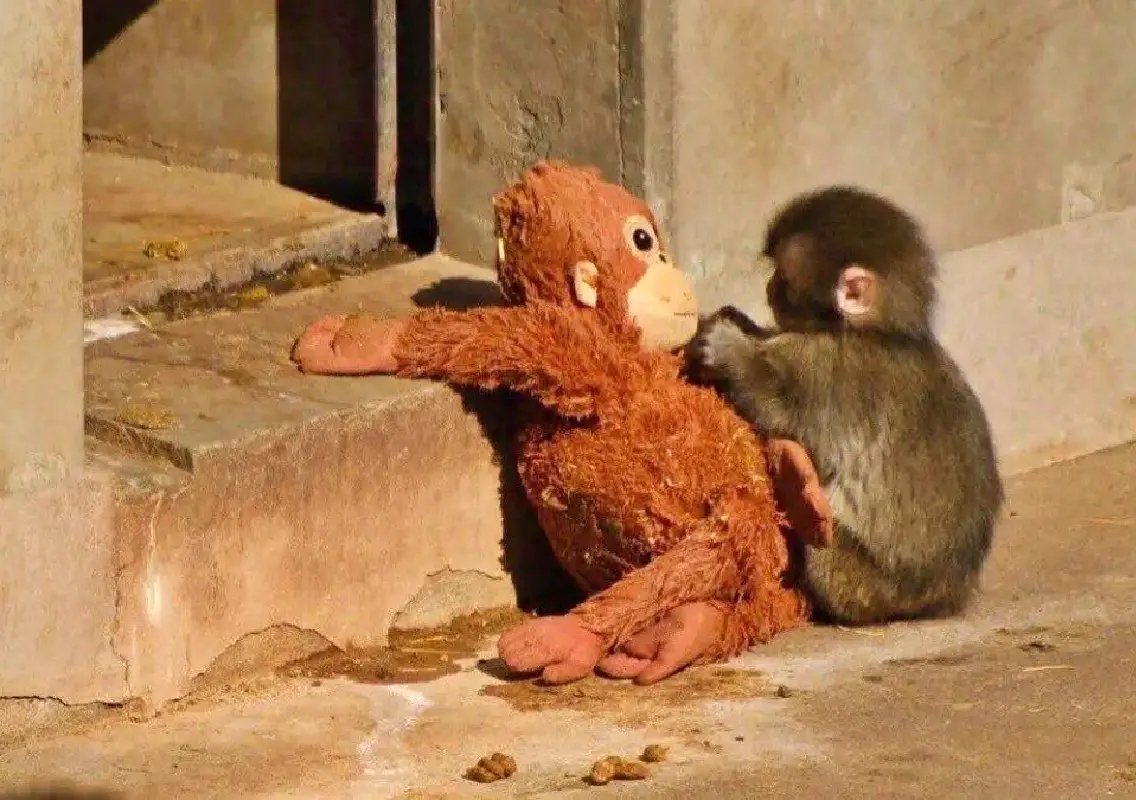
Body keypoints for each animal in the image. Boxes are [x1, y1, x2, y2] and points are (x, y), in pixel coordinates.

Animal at [679, 185, 1004, 626]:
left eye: (783, 277)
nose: (769, 288)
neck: (876, 332)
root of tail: (943, 598)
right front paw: (742, 324)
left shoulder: (827, 370)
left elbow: (784, 415)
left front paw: (729, 350)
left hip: (862, 585)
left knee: (823, 551)